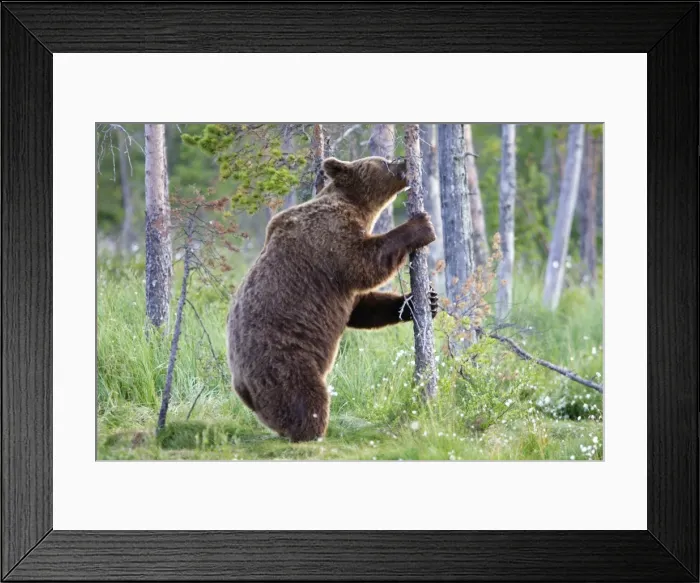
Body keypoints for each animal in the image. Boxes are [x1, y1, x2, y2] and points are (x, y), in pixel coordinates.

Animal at [227, 156, 438, 442]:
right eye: (383, 161)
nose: (405, 160)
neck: (357, 208)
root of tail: (241, 385)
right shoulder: (328, 239)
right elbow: (364, 263)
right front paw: (422, 226)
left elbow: (362, 307)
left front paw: (424, 301)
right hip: (283, 360)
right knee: (303, 396)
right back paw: (311, 431)